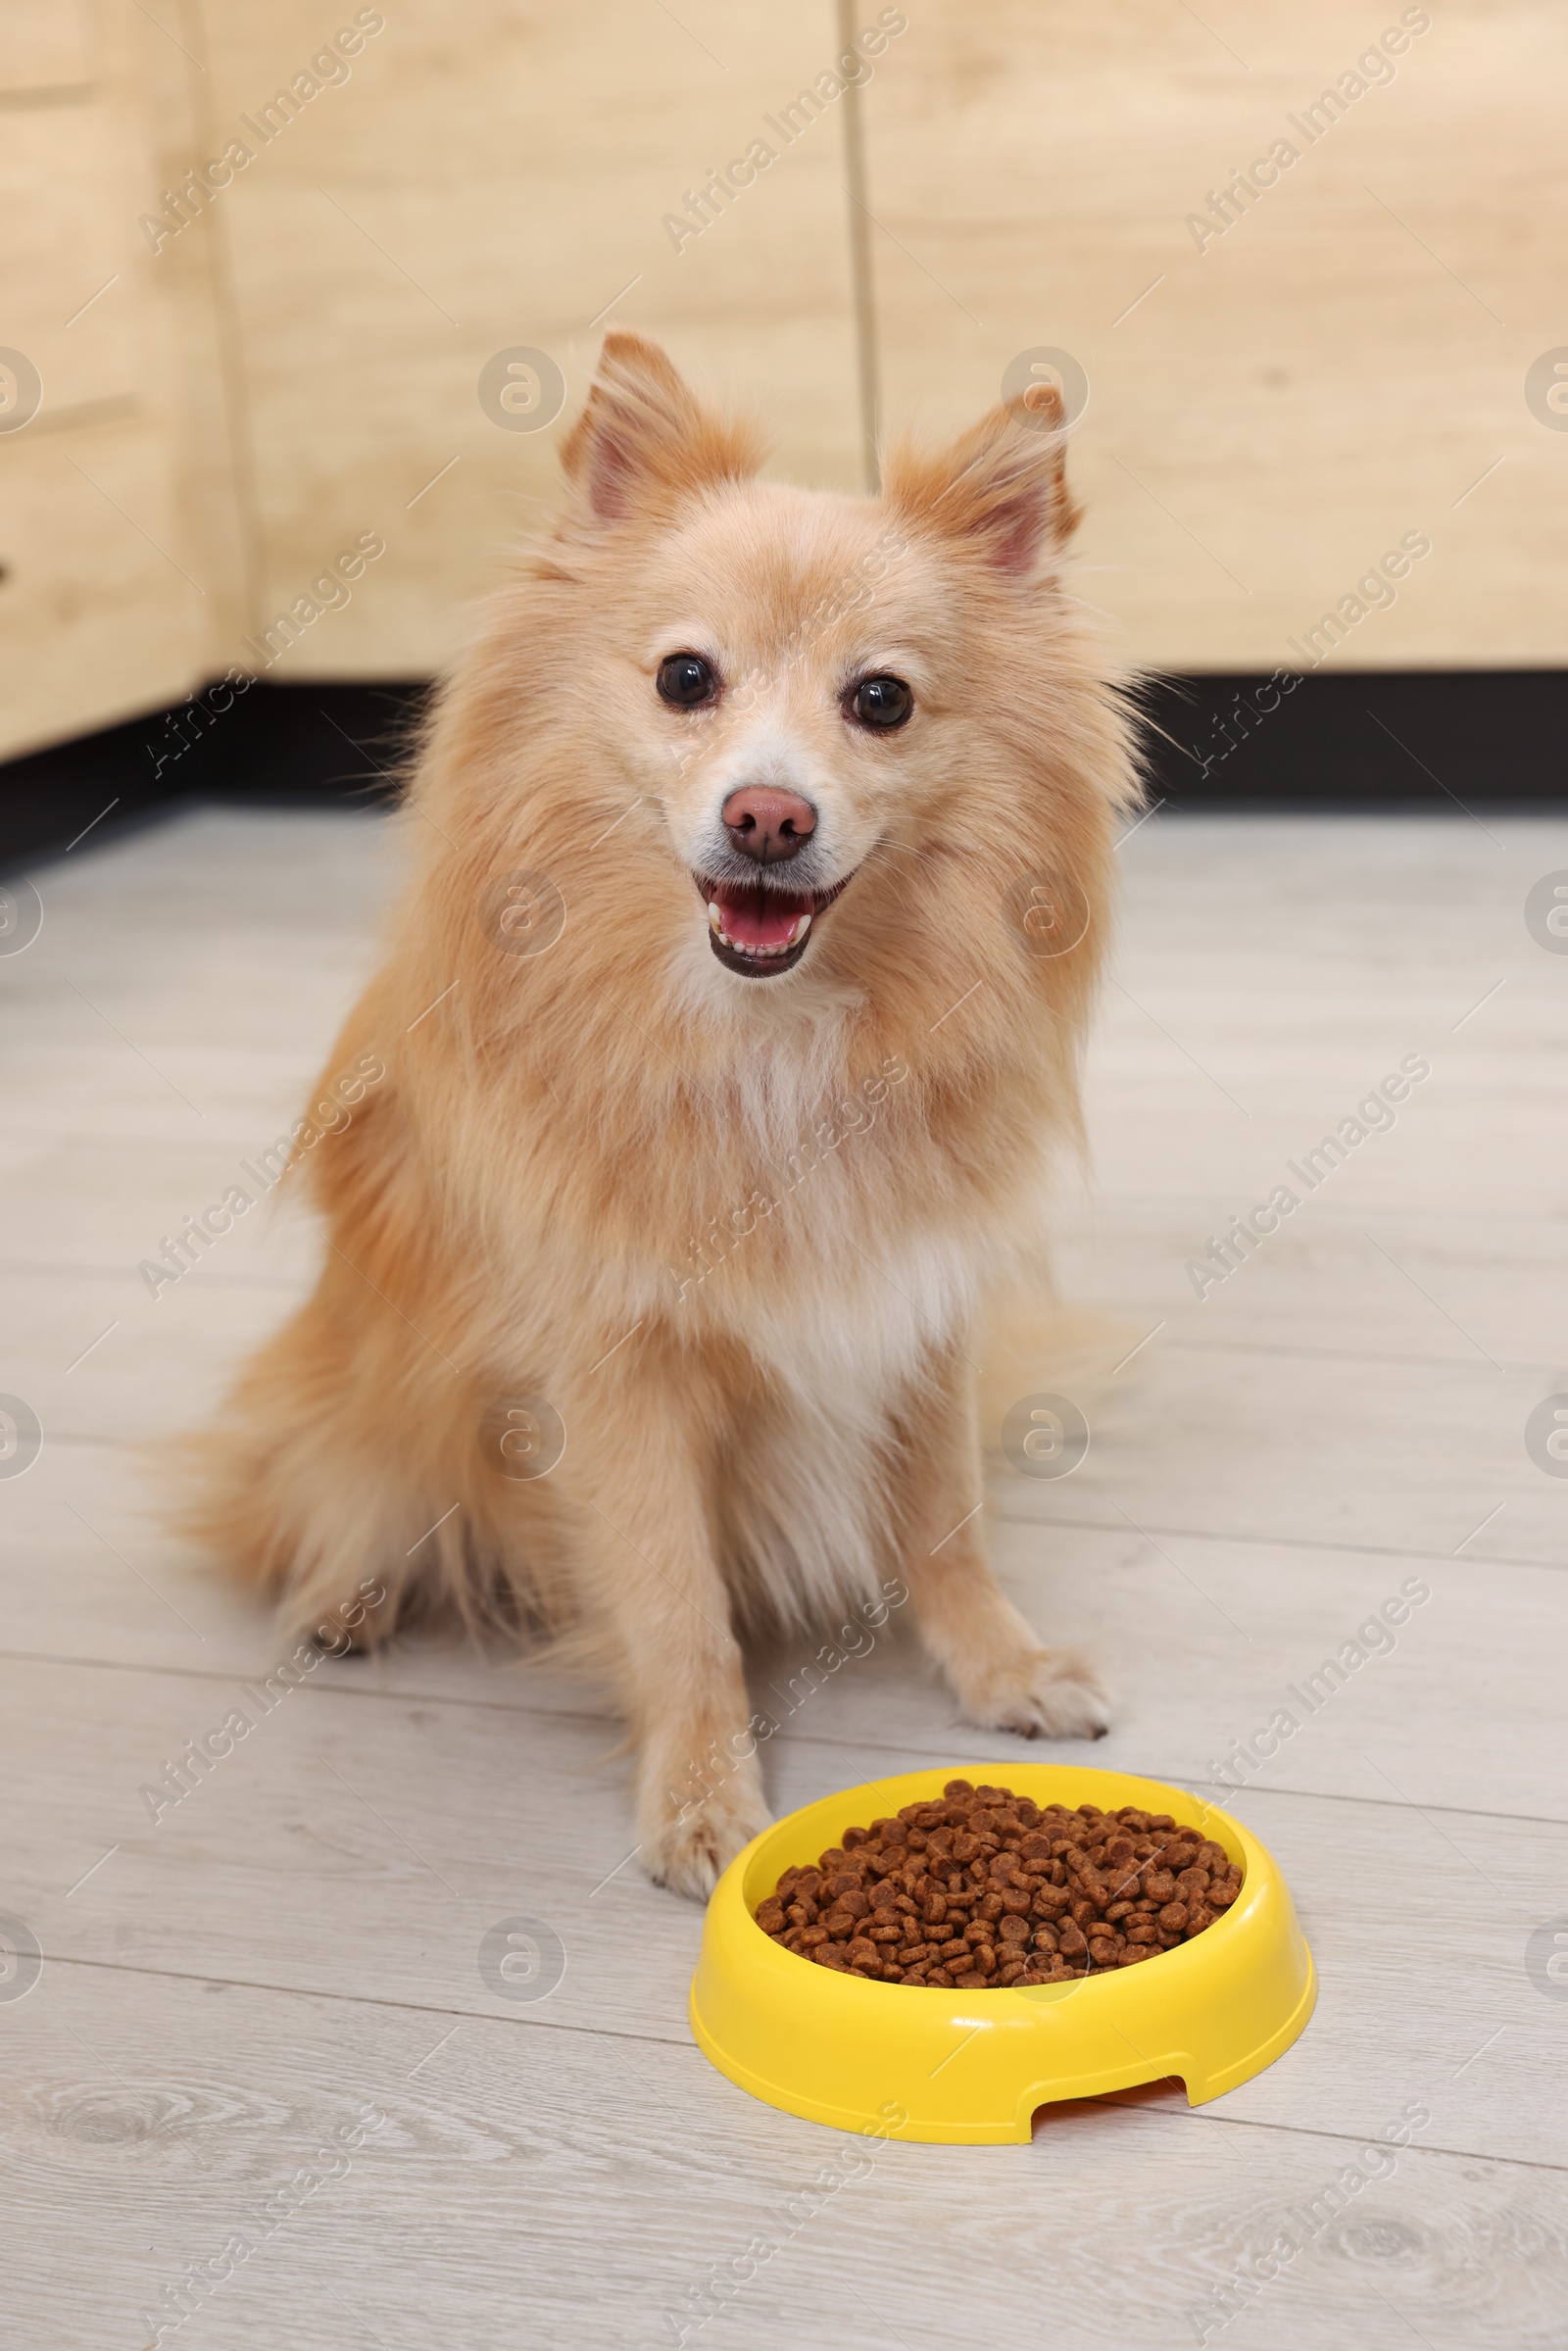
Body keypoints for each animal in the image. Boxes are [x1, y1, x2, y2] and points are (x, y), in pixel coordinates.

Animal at [186, 336, 1142, 1889]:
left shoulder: (917, 1306)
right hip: (359, 1386)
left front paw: (999, 1668)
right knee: (335, 1481)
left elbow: (945, 1522)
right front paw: (698, 1792)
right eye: (686, 678)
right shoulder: (616, 1371)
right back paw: (349, 1591)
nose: (767, 815)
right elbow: (676, 1598)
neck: (775, 1043)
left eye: (882, 701)